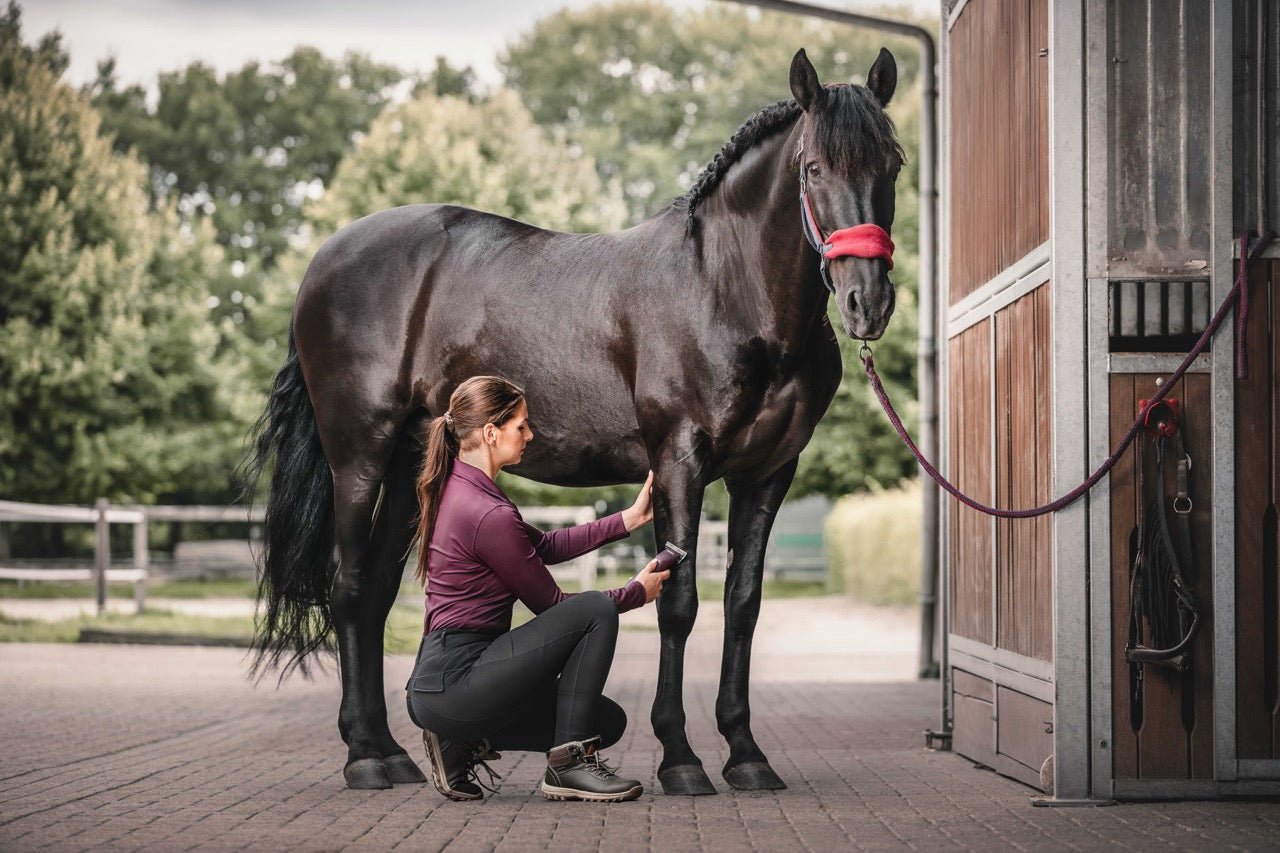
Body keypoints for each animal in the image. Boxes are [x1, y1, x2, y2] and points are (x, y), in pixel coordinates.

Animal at [247, 47, 903, 796]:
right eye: (814, 166)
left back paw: (391, 751)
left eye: (893, 163)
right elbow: (679, 603)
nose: (867, 301)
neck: (723, 289)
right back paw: (363, 757)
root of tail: (323, 262)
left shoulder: (768, 472)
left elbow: (743, 605)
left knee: (379, 589)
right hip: (359, 455)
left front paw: (746, 752)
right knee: (351, 589)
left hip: (412, 461)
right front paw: (681, 756)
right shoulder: (680, 460)